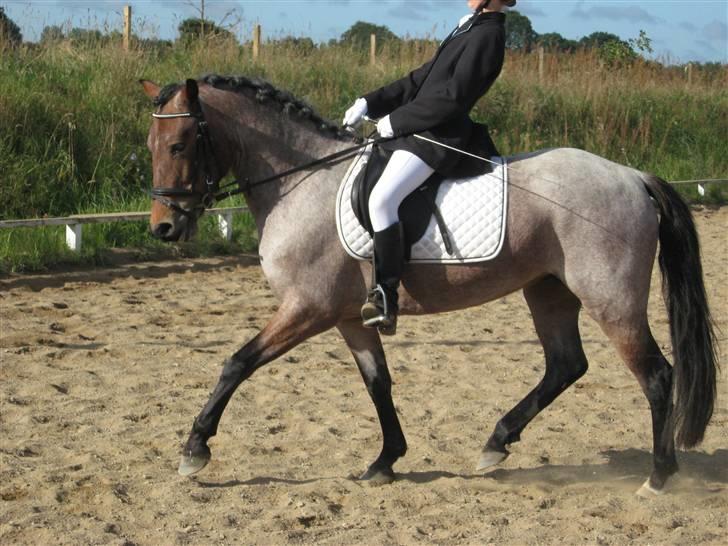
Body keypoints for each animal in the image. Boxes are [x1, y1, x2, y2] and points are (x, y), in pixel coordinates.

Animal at [139, 75, 718, 495]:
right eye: (152, 144)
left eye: (181, 143)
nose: (163, 228)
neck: (300, 181)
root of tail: (633, 177)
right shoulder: (349, 317)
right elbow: (378, 383)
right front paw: (385, 460)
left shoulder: (308, 308)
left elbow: (236, 363)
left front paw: (194, 449)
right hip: (548, 290)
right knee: (566, 365)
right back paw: (496, 442)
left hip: (611, 299)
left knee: (656, 375)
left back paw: (659, 477)